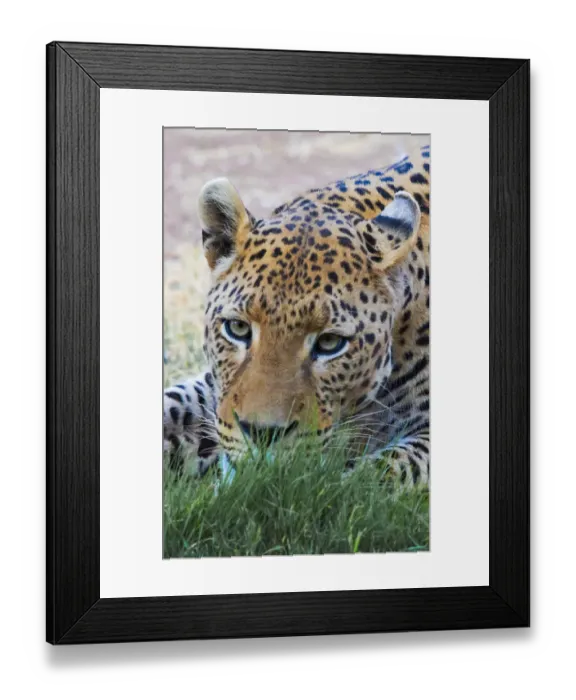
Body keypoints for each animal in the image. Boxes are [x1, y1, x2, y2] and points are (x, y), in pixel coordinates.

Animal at [164, 144, 431, 486]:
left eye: (330, 343)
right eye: (237, 328)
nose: (262, 434)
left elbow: (377, 476)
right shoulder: (214, 387)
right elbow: (172, 406)